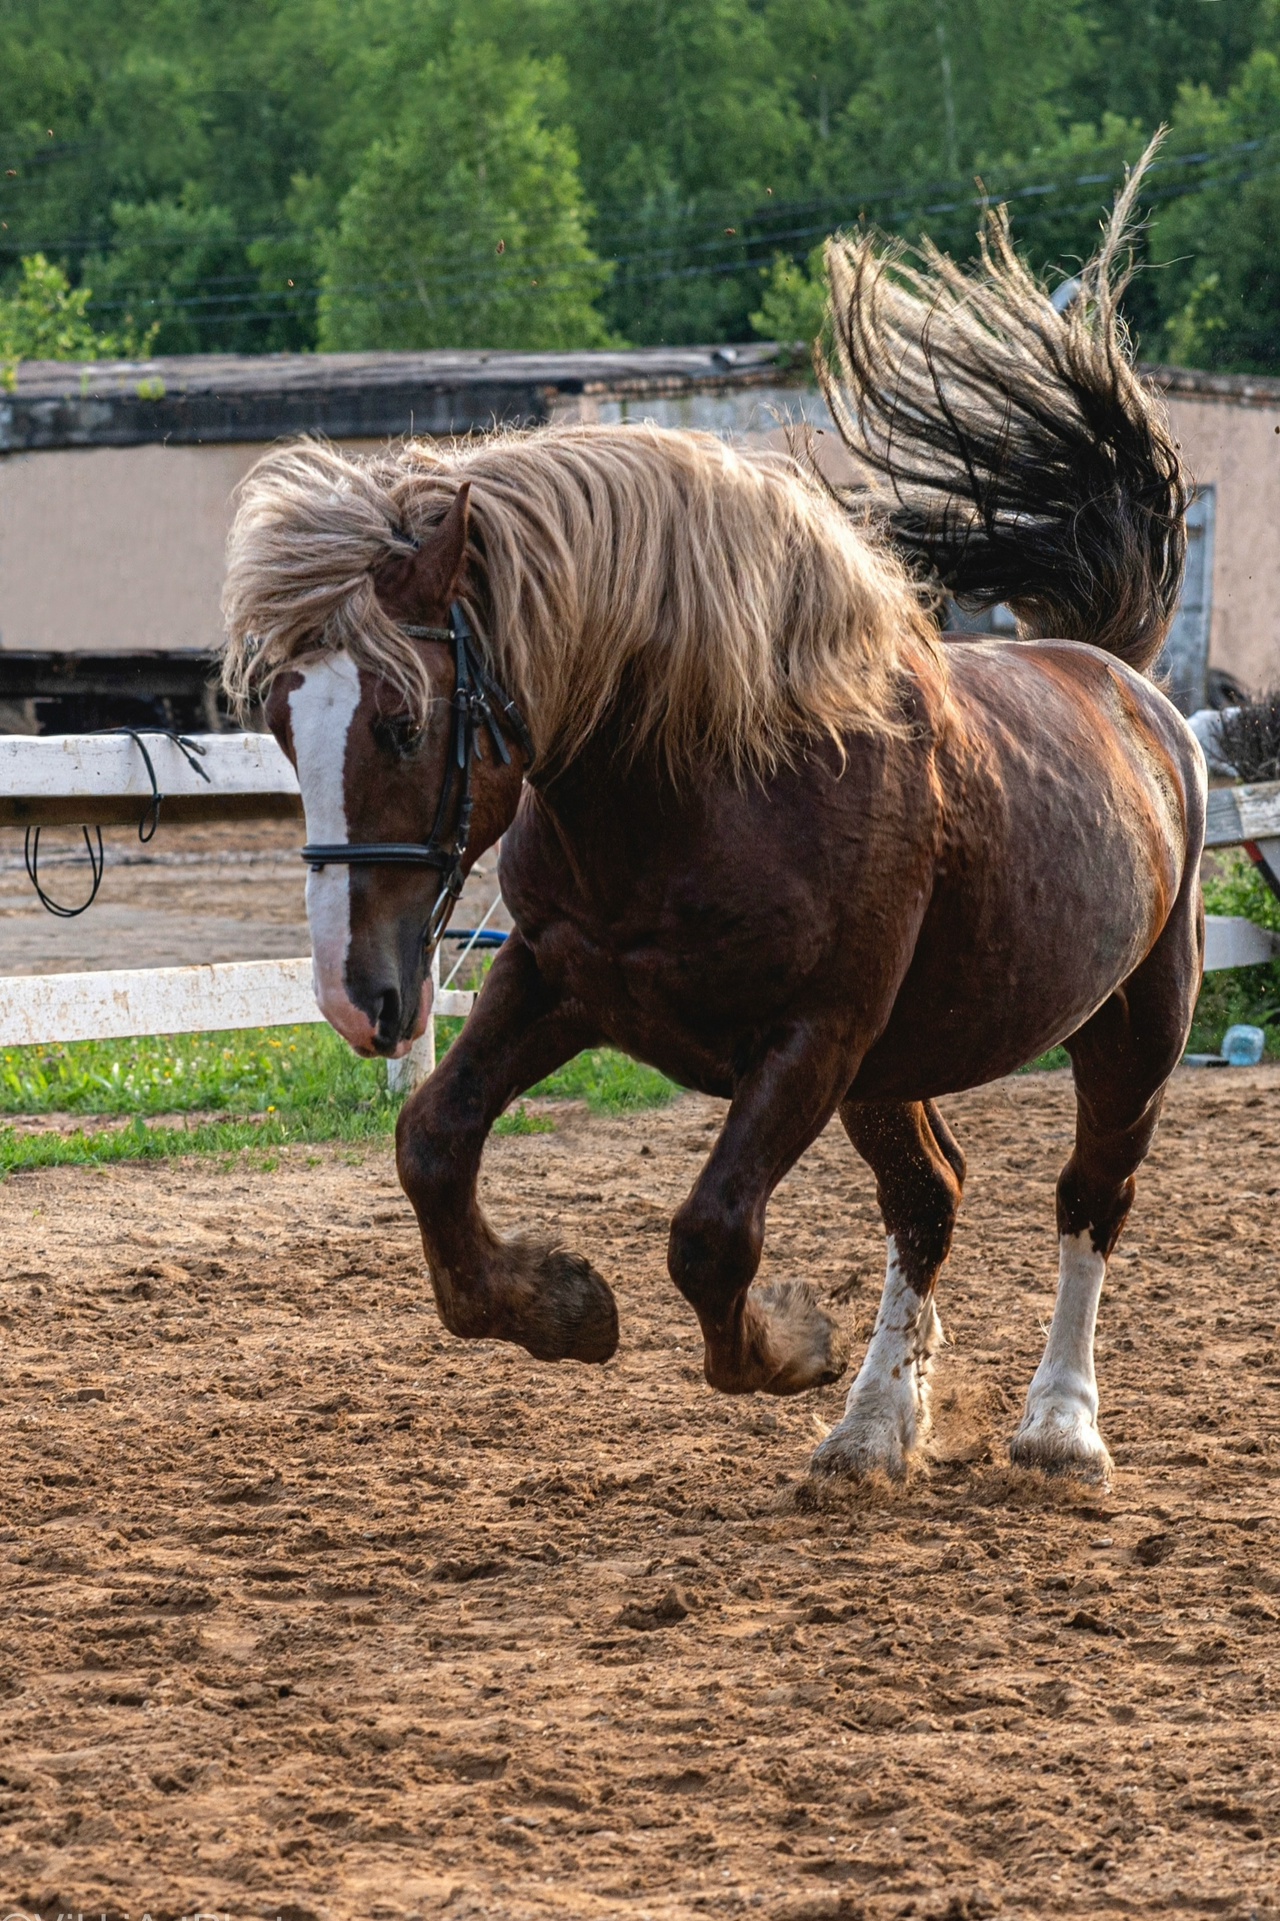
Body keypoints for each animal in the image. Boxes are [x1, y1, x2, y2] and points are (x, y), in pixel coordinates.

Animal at [222, 159, 1202, 1485]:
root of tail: (1121, 680)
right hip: (894, 1068)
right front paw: (557, 1306)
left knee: (1088, 1199)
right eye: (278, 718)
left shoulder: (809, 1037)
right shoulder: (554, 981)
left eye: (403, 721)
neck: (700, 787)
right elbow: (431, 1140)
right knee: (929, 1199)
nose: (351, 993)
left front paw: (784, 1343)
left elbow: (710, 1232)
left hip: (1128, 1030)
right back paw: (873, 1426)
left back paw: (1057, 1426)